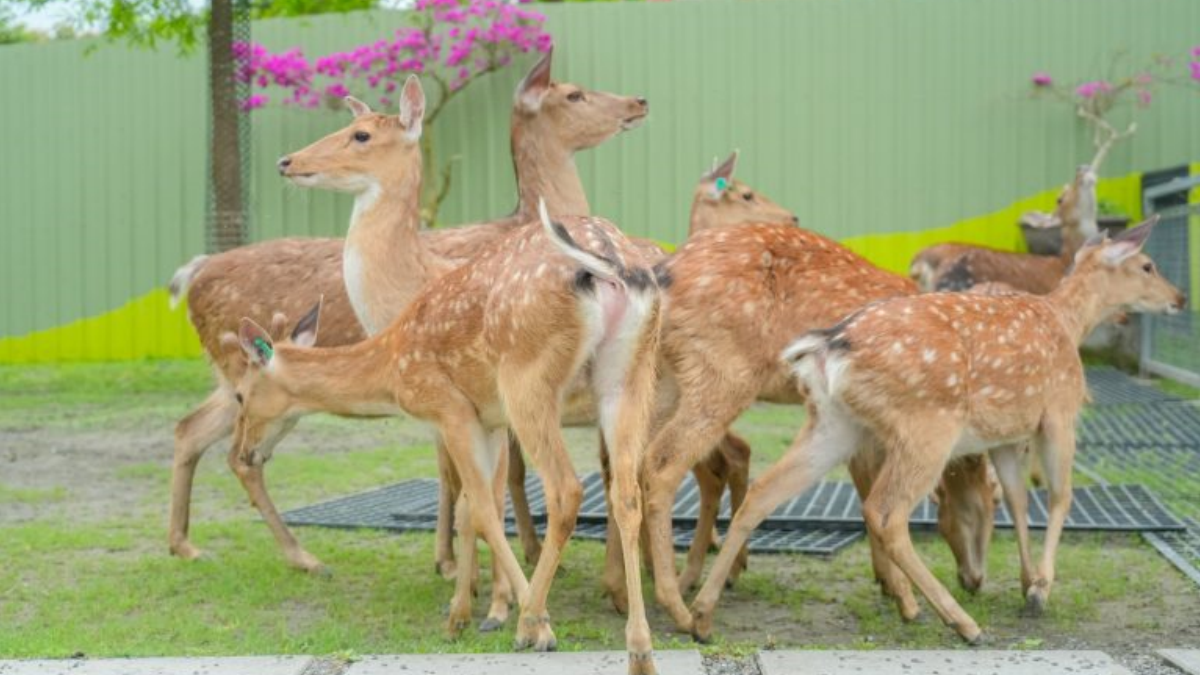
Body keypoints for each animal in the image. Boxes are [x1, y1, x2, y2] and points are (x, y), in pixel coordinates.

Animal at [166, 49, 650, 580]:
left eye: (361, 134)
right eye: (574, 93)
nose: (287, 161)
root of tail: (193, 273)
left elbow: (475, 478)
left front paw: (471, 566)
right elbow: (467, 477)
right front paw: (466, 566)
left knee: (202, 435)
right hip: (236, 372)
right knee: (218, 444)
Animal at [228, 204, 665, 675]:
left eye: (240, 394)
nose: (244, 452)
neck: (393, 369)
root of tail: (610, 262)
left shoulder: (450, 408)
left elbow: (483, 509)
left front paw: (524, 625)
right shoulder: (489, 420)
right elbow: (472, 510)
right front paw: (462, 614)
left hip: (527, 376)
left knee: (566, 488)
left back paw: (533, 619)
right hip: (627, 376)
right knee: (626, 493)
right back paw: (640, 651)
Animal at [688, 217, 1185, 644]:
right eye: (1147, 265)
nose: (1179, 299)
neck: (1068, 323)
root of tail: (829, 346)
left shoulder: (1005, 436)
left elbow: (1018, 502)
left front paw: (1027, 584)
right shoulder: (1059, 412)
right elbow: (1060, 497)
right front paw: (1042, 588)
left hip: (833, 422)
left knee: (765, 491)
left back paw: (702, 616)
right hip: (926, 426)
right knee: (885, 511)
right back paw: (959, 622)